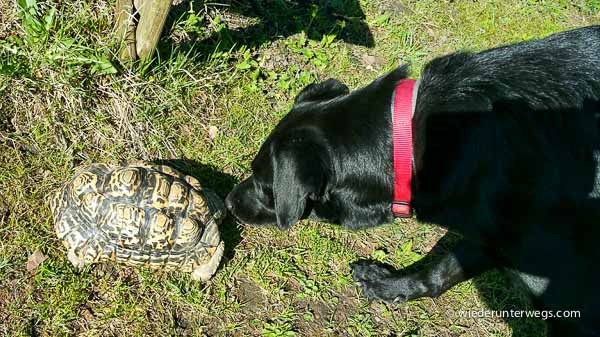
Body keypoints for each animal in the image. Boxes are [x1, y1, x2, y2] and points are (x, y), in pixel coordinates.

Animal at [226, 26, 600, 336]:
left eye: (265, 186)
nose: (229, 201)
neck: (411, 143)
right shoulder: (487, 233)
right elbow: (440, 271)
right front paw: (390, 287)